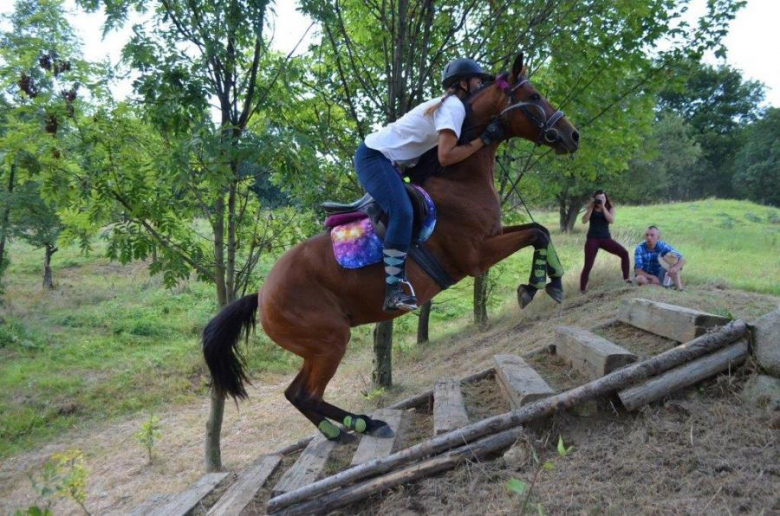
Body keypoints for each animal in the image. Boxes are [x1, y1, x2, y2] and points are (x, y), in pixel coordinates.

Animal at [203, 51, 580, 440]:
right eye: (534, 96)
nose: (573, 135)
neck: (459, 179)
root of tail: (261, 294)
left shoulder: (494, 235)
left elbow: (539, 230)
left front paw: (552, 283)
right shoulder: (477, 256)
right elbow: (537, 234)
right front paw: (535, 286)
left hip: (316, 347)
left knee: (295, 393)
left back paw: (342, 430)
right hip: (330, 341)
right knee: (306, 393)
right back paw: (366, 423)